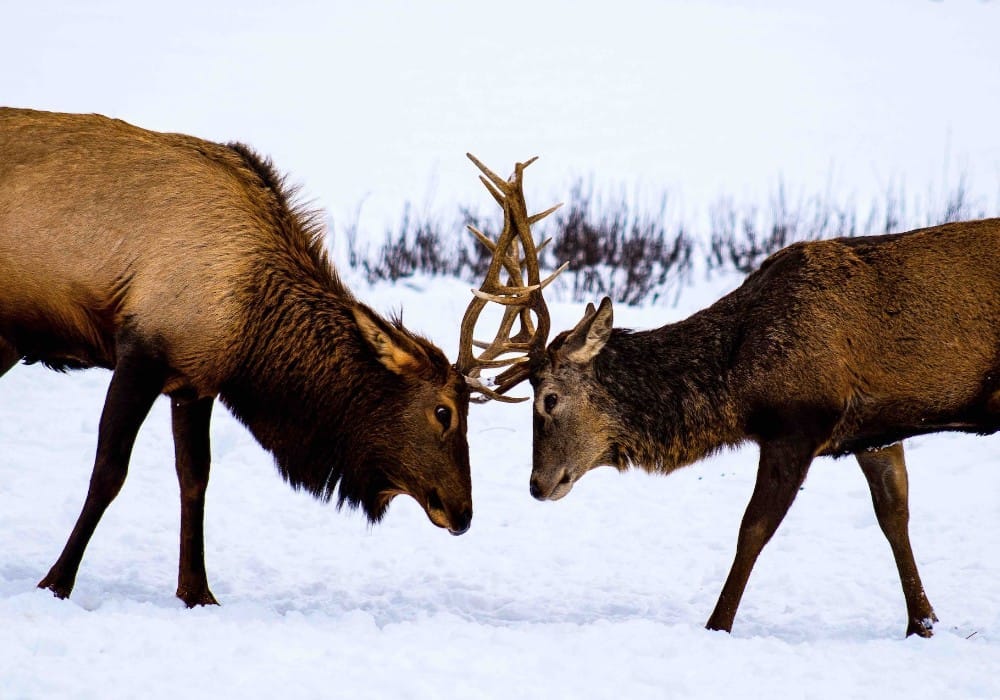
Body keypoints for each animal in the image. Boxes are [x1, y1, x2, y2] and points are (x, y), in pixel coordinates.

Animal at [0, 106, 474, 604]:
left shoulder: (194, 383)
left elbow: (195, 478)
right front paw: (56, 582)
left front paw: (196, 592)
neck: (250, 329)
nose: (463, 512)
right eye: (443, 412)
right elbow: (109, 472)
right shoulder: (142, 353)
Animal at [460, 156, 1000, 636]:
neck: (740, 382)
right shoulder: (875, 429)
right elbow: (895, 517)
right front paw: (923, 623)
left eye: (548, 399)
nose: (537, 484)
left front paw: (716, 626)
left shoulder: (796, 424)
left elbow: (752, 530)